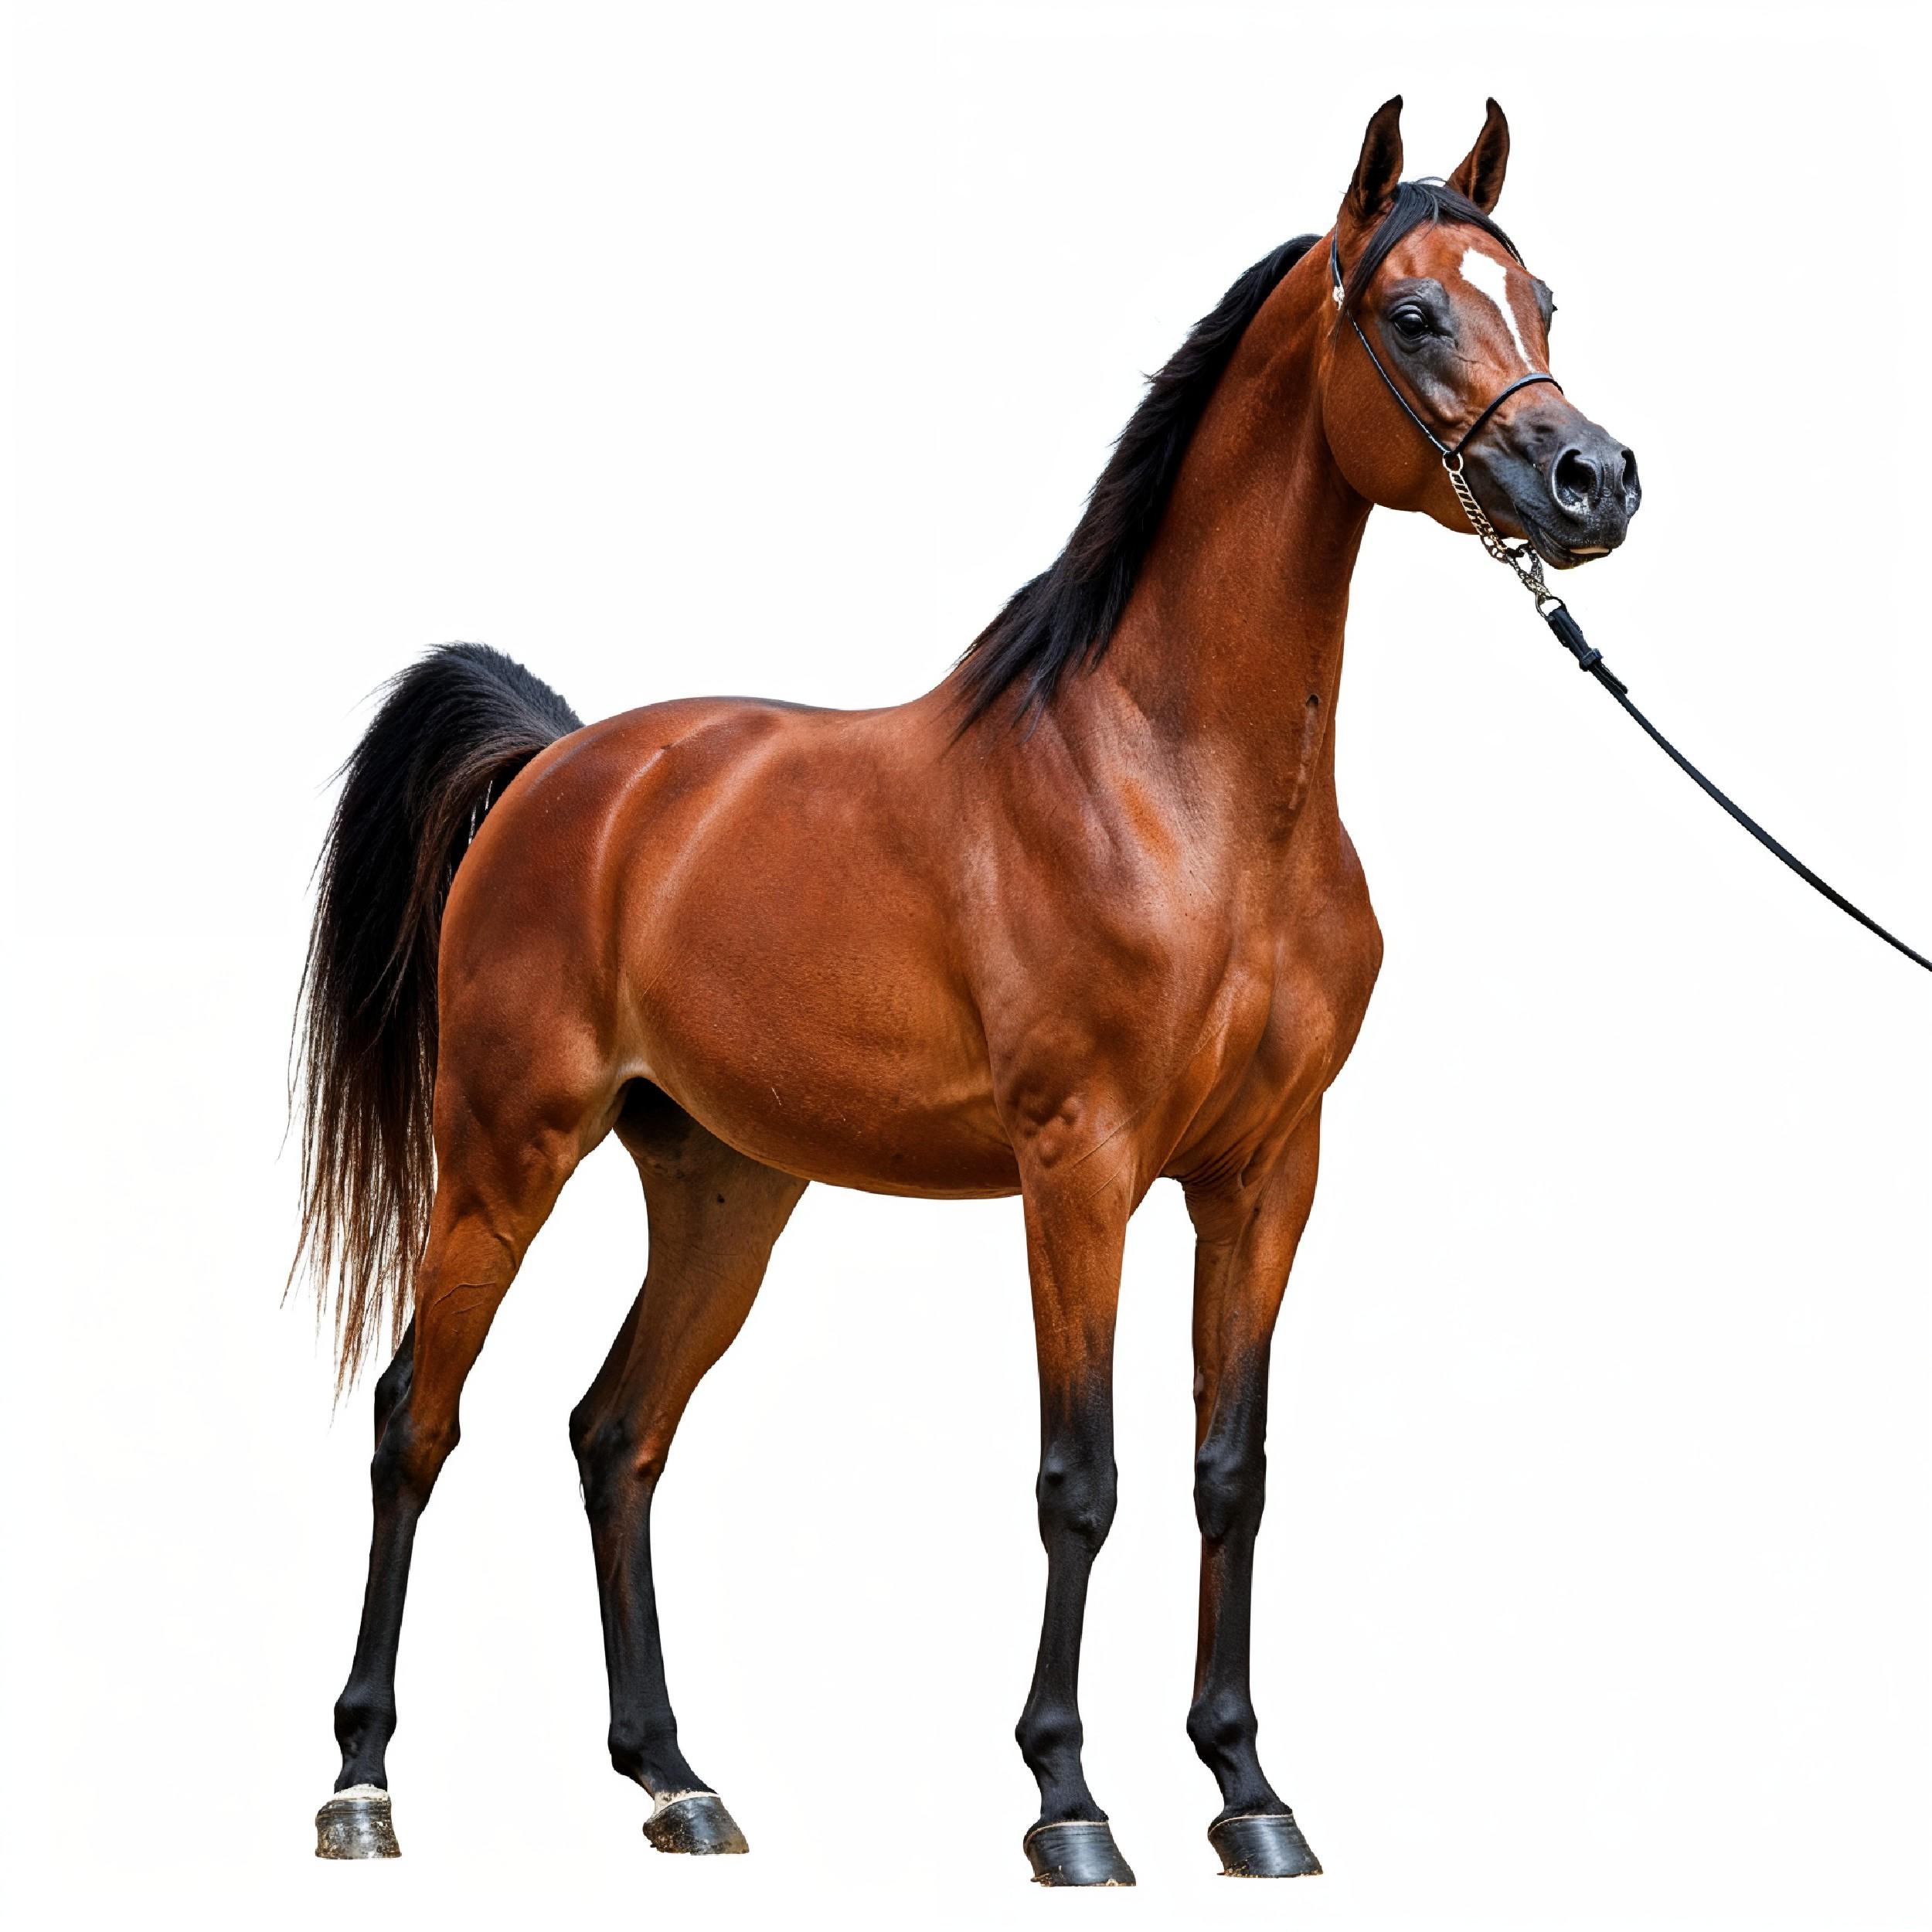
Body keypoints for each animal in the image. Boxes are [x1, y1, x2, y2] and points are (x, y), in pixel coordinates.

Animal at [294, 96, 1640, 1883]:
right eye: (1414, 310)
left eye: (1540, 296)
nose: (1591, 477)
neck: (1180, 786)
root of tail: (566, 767)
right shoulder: (1078, 1168)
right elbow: (1081, 1475)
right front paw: (1068, 1801)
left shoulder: (1265, 1173)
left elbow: (1229, 1469)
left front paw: (1248, 1791)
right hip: (505, 1154)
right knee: (413, 1420)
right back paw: (362, 1780)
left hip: (724, 1186)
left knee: (614, 1433)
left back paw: (675, 1781)